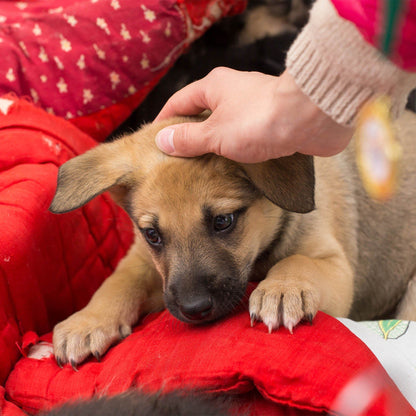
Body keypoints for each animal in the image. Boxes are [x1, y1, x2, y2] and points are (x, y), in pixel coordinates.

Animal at [50, 112, 416, 366]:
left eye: (223, 221)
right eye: (152, 234)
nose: (194, 310)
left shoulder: (337, 269)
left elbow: (297, 260)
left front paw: (283, 289)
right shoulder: (141, 259)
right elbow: (120, 280)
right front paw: (87, 322)